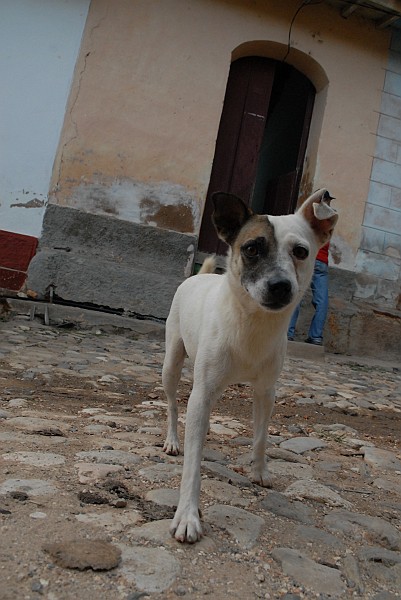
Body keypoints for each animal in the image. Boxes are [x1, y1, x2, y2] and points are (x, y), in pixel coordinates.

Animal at [161, 189, 336, 544]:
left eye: (301, 251)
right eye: (252, 248)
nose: (281, 286)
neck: (252, 323)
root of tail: (198, 276)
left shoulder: (266, 392)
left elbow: (261, 435)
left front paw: (259, 470)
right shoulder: (201, 391)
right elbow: (192, 466)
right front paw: (187, 515)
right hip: (171, 364)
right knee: (173, 404)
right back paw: (173, 440)